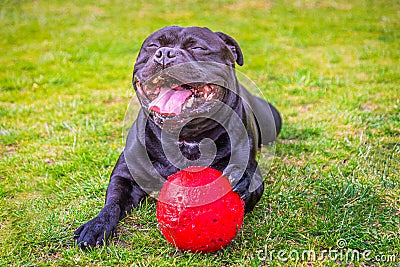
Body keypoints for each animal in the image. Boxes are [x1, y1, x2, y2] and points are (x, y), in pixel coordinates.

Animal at [75, 25, 282, 249]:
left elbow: (254, 182)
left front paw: (242, 179)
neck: (185, 136)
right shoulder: (125, 176)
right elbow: (113, 202)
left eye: (198, 48)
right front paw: (96, 225)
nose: (165, 53)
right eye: (153, 46)